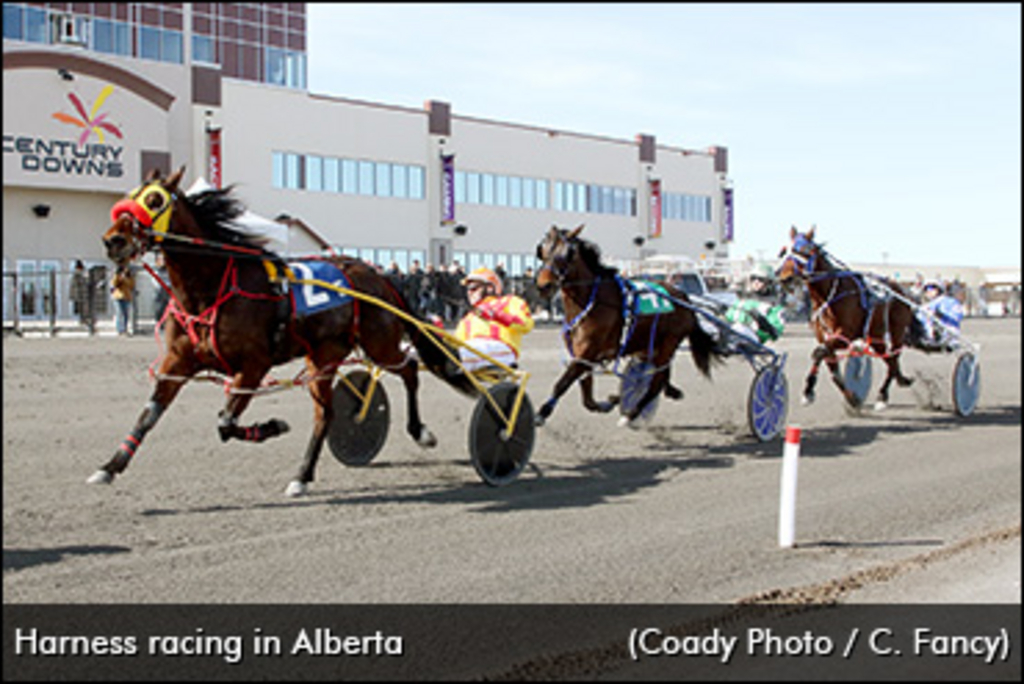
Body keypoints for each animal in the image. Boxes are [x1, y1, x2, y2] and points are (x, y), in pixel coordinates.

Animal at [88, 166, 471, 497]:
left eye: (155, 200)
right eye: (128, 196)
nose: (113, 240)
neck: (211, 287)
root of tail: (377, 275)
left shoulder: (254, 365)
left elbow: (225, 421)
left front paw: (272, 426)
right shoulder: (178, 362)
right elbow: (148, 414)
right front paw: (109, 467)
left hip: (378, 345)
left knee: (409, 368)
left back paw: (421, 432)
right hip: (324, 356)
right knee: (326, 414)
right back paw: (302, 474)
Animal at [532, 224, 724, 428]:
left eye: (568, 253)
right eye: (543, 251)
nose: (544, 285)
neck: (591, 302)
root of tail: (683, 297)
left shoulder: (587, 353)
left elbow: (563, 383)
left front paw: (541, 413)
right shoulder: (582, 356)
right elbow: (587, 397)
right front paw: (608, 402)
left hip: (669, 342)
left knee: (656, 381)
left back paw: (631, 414)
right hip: (649, 346)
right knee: (662, 374)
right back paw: (663, 392)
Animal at [774, 224, 921, 409]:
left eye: (806, 250)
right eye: (785, 251)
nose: (785, 277)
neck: (828, 295)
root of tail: (903, 291)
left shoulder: (845, 335)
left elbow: (818, 353)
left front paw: (808, 391)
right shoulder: (824, 336)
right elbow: (831, 365)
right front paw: (851, 398)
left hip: (897, 331)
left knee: (893, 357)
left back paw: (883, 394)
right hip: (876, 335)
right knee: (889, 359)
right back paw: (898, 382)